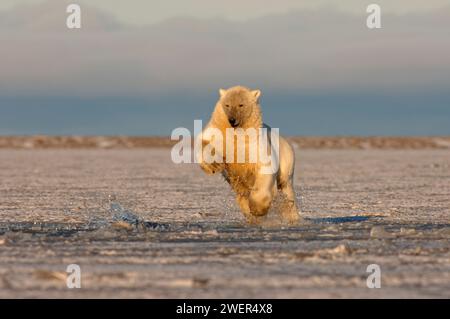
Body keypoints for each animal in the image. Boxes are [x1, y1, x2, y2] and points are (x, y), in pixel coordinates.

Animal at [197, 85, 298, 225]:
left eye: (241, 105)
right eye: (227, 105)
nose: (232, 120)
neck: (237, 132)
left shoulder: (256, 146)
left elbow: (265, 168)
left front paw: (257, 209)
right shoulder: (219, 133)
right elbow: (205, 142)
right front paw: (214, 164)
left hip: (286, 161)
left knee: (286, 188)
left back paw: (292, 216)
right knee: (242, 194)